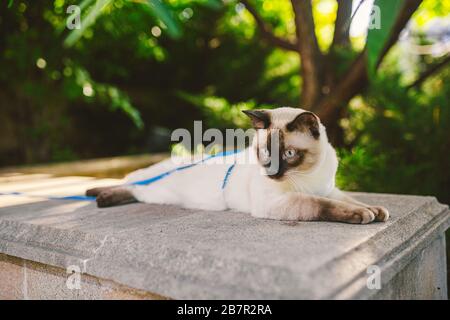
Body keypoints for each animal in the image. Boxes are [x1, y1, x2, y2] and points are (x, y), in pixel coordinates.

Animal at [86, 107, 388, 225]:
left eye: (289, 153)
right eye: (264, 152)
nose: (271, 172)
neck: (308, 175)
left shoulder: (329, 190)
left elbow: (351, 200)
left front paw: (375, 211)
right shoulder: (279, 202)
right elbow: (322, 205)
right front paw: (363, 216)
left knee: (131, 186)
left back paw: (97, 195)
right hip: (155, 190)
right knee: (132, 183)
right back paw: (100, 196)